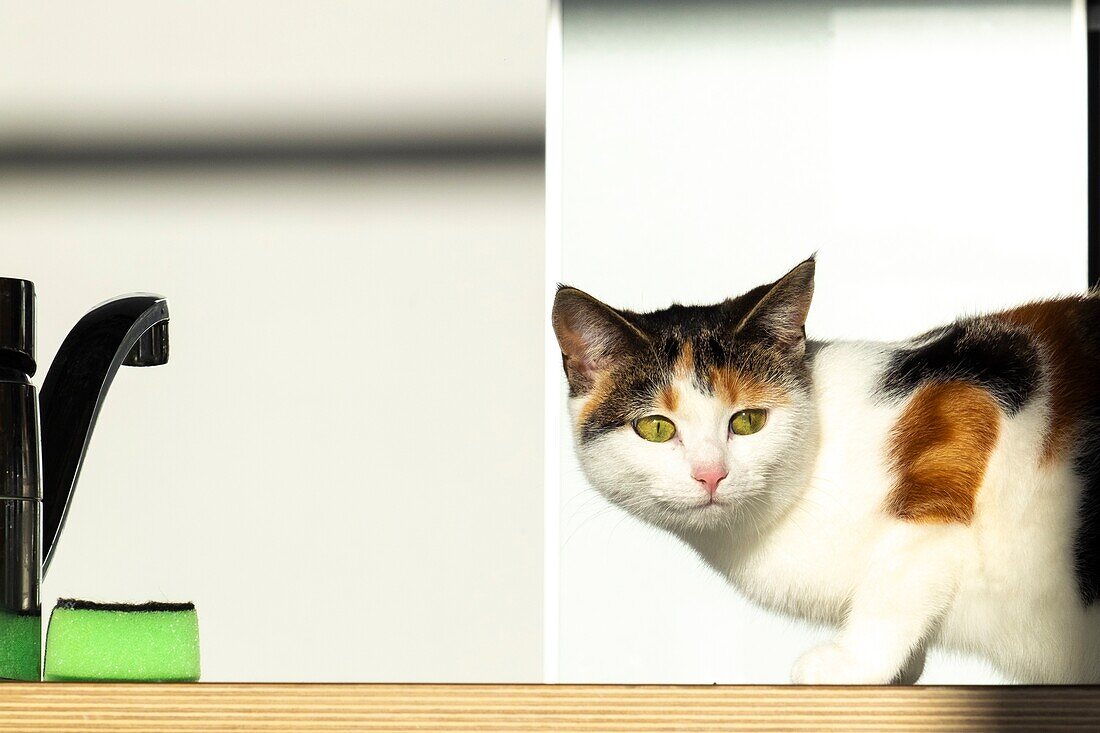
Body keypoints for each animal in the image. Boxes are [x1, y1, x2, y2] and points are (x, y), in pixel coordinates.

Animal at [554, 255, 1100, 677]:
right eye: (656, 428)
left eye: (748, 420)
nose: (711, 473)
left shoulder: (965, 403)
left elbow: (900, 575)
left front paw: (854, 665)